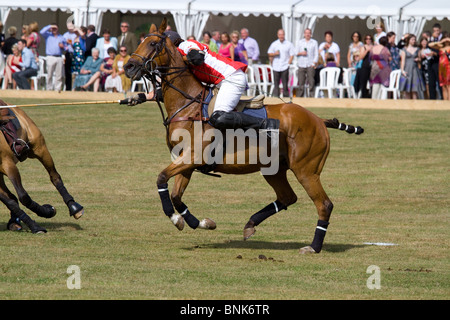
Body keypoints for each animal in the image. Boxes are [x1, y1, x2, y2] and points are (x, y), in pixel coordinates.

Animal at [0, 99, 83, 234]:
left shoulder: (8, 163)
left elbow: (23, 196)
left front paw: (47, 212)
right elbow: (10, 202)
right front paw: (35, 223)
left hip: (39, 148)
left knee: (55, 177)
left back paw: (74, 207)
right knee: (11, 196)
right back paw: (14, 222)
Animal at [125, 19, 364, 255]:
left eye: (153, 44)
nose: (128, 67)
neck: (187, 104)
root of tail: (319, 120)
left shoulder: (193, 157)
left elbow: (161, 178)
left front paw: (177, 218)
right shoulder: (187, 161)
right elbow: (176, 195)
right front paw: (200, 222)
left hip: (307, 170)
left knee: (324, 204)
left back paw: (313, 246)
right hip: (274, 169)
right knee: (288, 197)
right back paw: (250, 225)